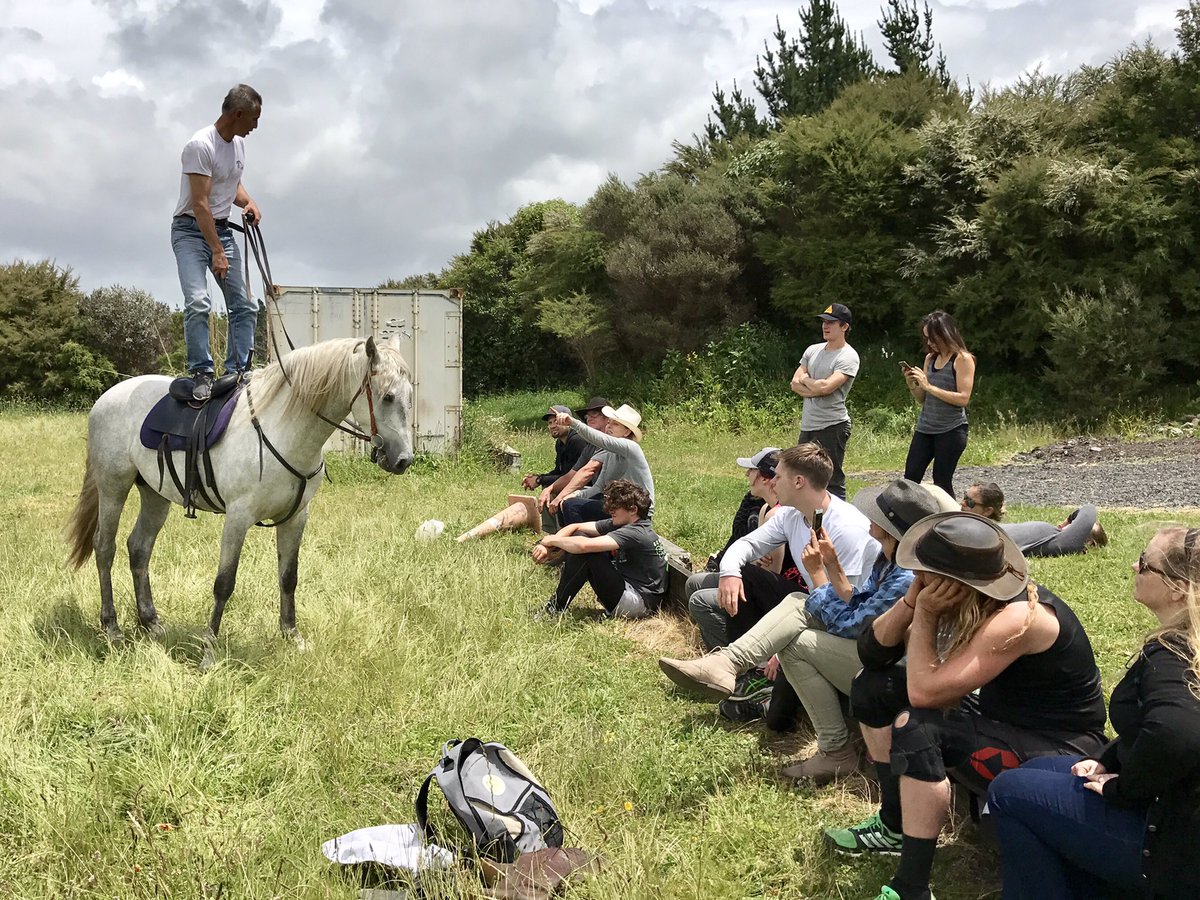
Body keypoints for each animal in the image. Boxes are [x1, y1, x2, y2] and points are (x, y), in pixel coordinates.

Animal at [66, 334, 414, 665]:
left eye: (409, 395)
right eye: (387, 397)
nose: (403, 460)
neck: (283, 430)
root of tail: (108, 396)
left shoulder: (296, 517)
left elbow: (289, 577)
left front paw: (293, 637)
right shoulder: (238, 517)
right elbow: (224, 583)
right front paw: (209, 651)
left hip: (155, 494)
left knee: (139, 548)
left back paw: (150, 622)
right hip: (113, 487)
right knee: (105, 548)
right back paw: (112, 628)